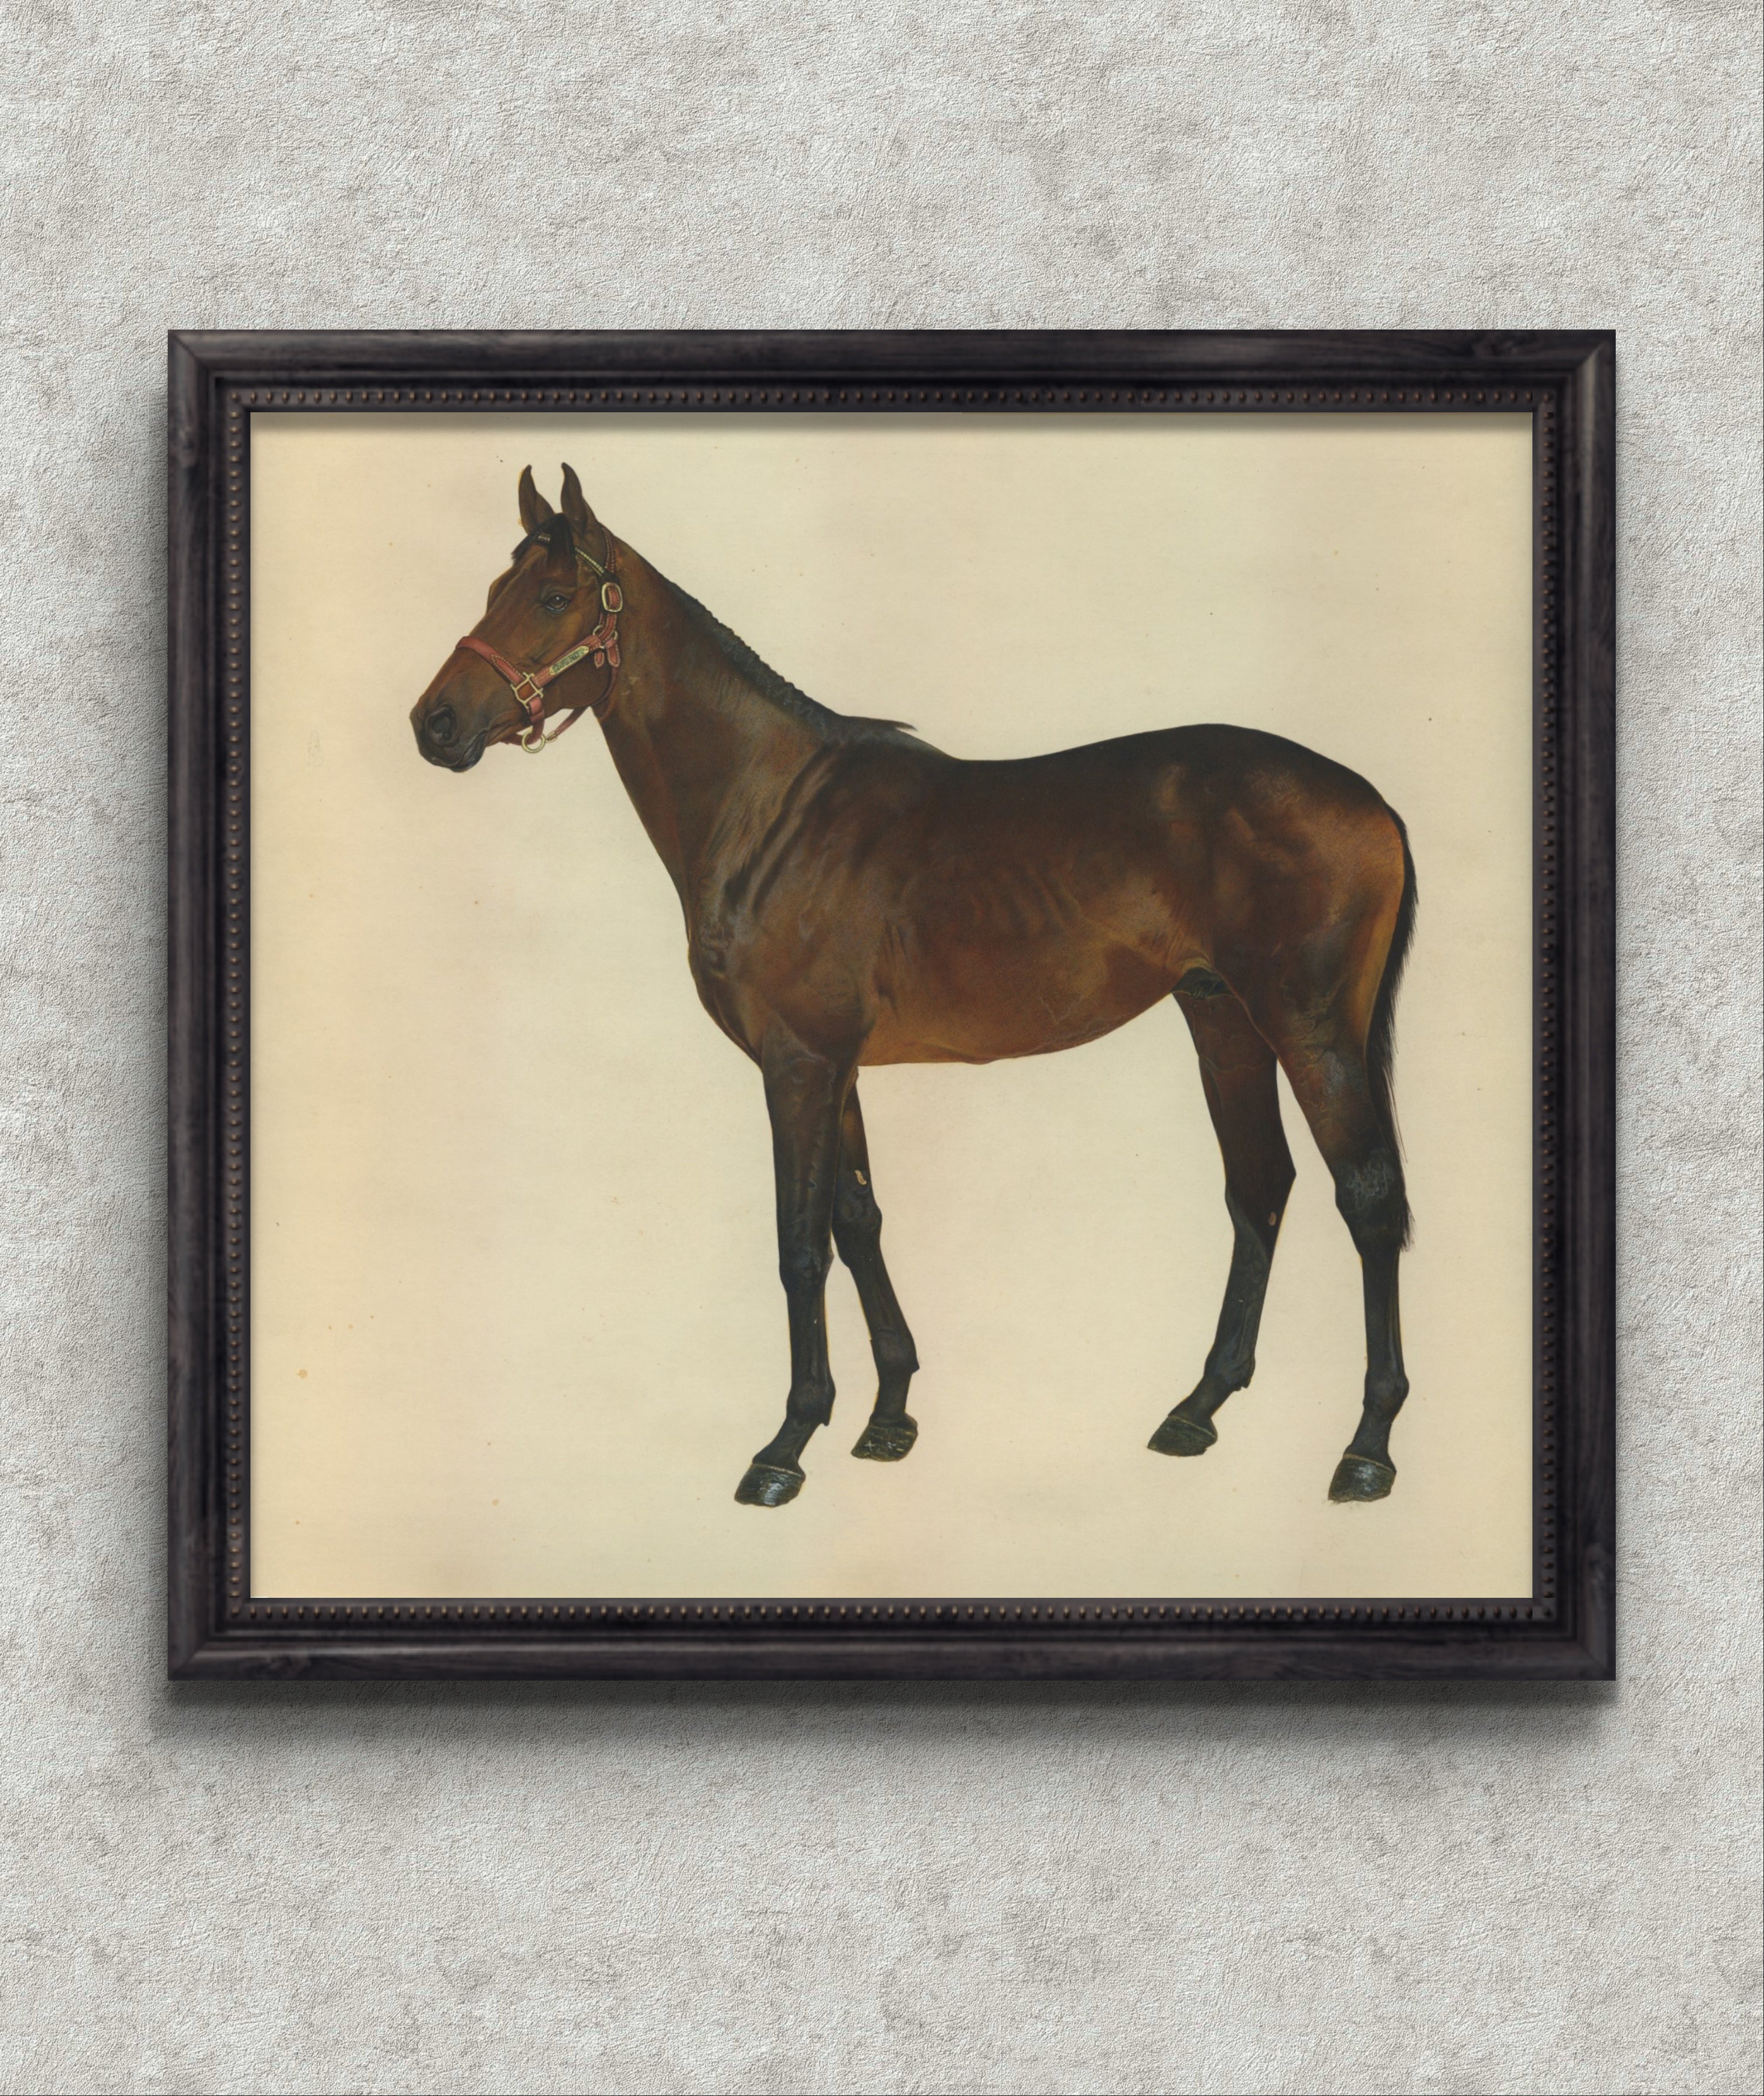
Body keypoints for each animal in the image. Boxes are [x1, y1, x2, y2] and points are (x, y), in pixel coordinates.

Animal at [410, 463, 1417, 1511]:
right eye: (496, 588)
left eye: (552, 597)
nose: (433, 723)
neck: (771, 813)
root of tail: (1372, 802)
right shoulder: (838, 1066)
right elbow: (858, 1221)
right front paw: (888, 1416)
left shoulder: (797, 1064)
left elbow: (800, 1242)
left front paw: (785, 1444)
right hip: (1220, 1019)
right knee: (1258, 1189)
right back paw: (1196, 1411)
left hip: (1309, 1029)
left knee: (1368, 1198)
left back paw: (1367, 1449)